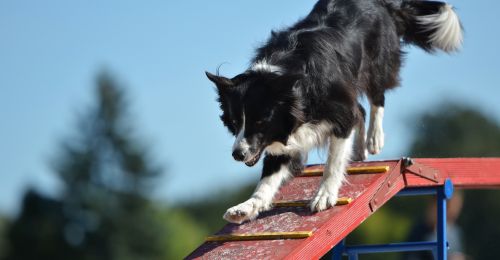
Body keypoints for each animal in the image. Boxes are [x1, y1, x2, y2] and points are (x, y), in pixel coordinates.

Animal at [206, 0, 460, 223]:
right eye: (234, 123)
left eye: (260, 122)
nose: (237, 154)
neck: (290, 85)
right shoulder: (286, 133)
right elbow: (268, 178)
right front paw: (248, 206)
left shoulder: (337, 111)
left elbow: (334, 161)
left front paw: (324, 195)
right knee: (361, 110)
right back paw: (359, 149)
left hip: (375, 63)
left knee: (377, 98)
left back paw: (374, 138)